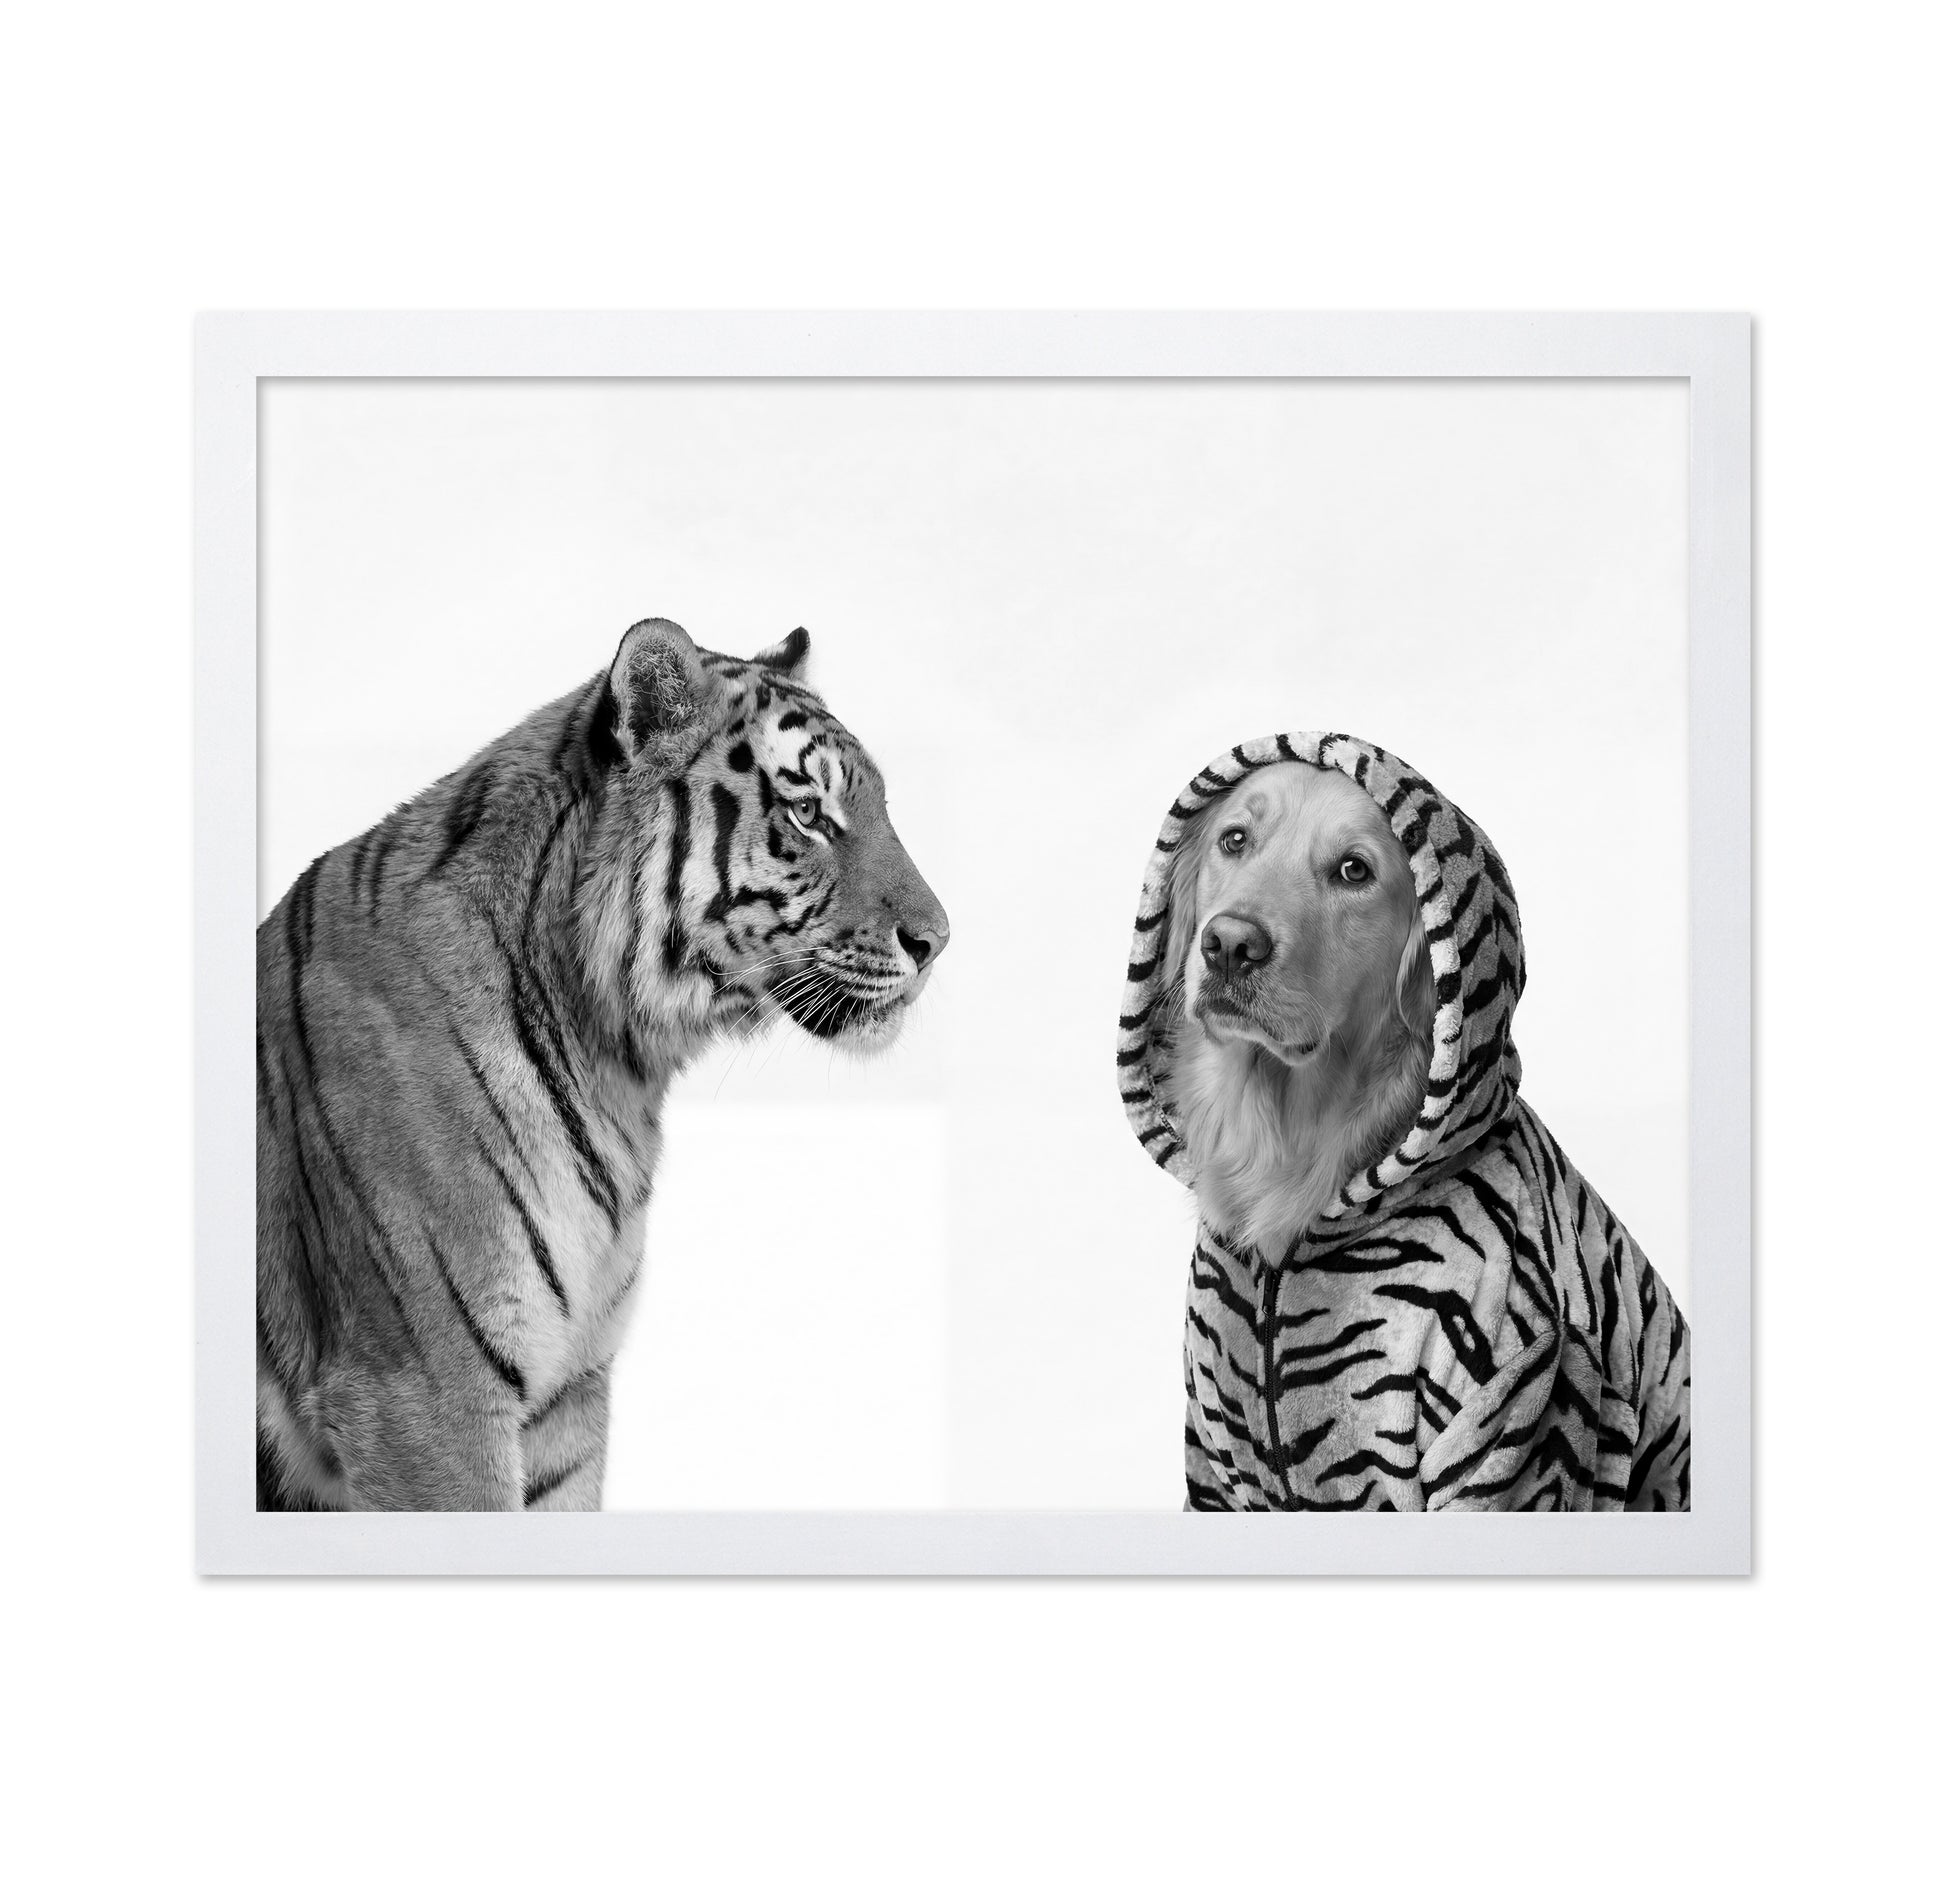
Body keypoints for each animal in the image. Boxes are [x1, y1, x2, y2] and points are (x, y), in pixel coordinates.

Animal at [255, 618, 948, 1512]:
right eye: (807, 813)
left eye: (879, 806)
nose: (939, 940)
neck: (616, 1068)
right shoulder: (423, 1395)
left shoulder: (569, 1394)